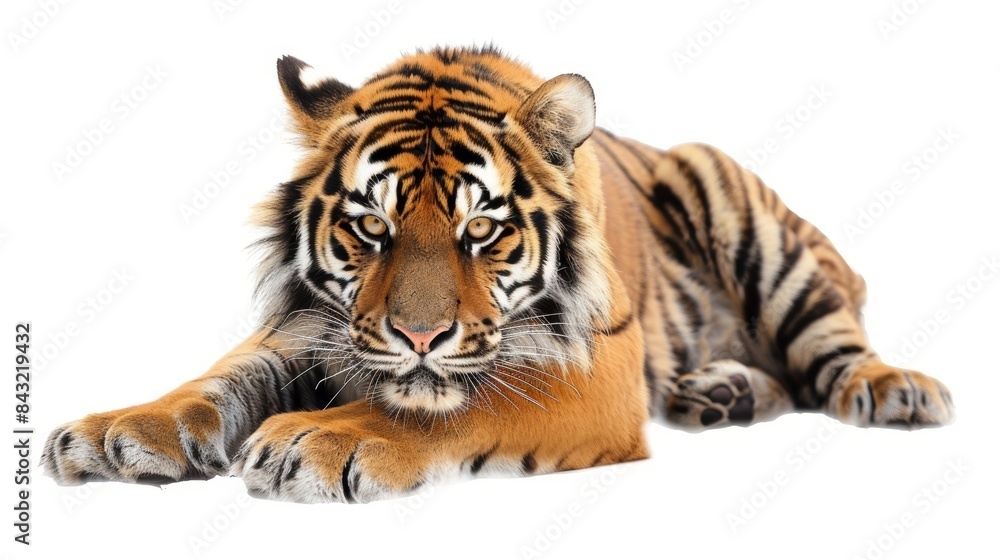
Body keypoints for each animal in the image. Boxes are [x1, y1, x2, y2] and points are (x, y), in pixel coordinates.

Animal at [41, 45, 955, 503]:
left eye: (481, 230)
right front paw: (115, 432)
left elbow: (458, 407)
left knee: (834, 347)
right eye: (370, 227)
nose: (418, 336)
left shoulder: (595, 370)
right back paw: (720, 394)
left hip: (744, 213)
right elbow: (214, 382)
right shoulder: (305, 327)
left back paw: (898, 390)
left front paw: (318, 439)